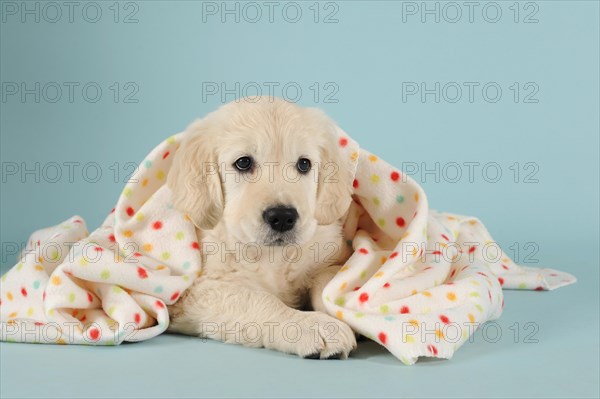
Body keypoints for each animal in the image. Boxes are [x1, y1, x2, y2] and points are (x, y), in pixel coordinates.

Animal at [165, 97, 356, 360]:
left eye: (304, 164)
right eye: (243, 162)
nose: (283, 217)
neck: (271, 255)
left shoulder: (328, 255)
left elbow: (328, 280)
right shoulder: (193, 292)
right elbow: (256, 298)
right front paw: (314, 325)